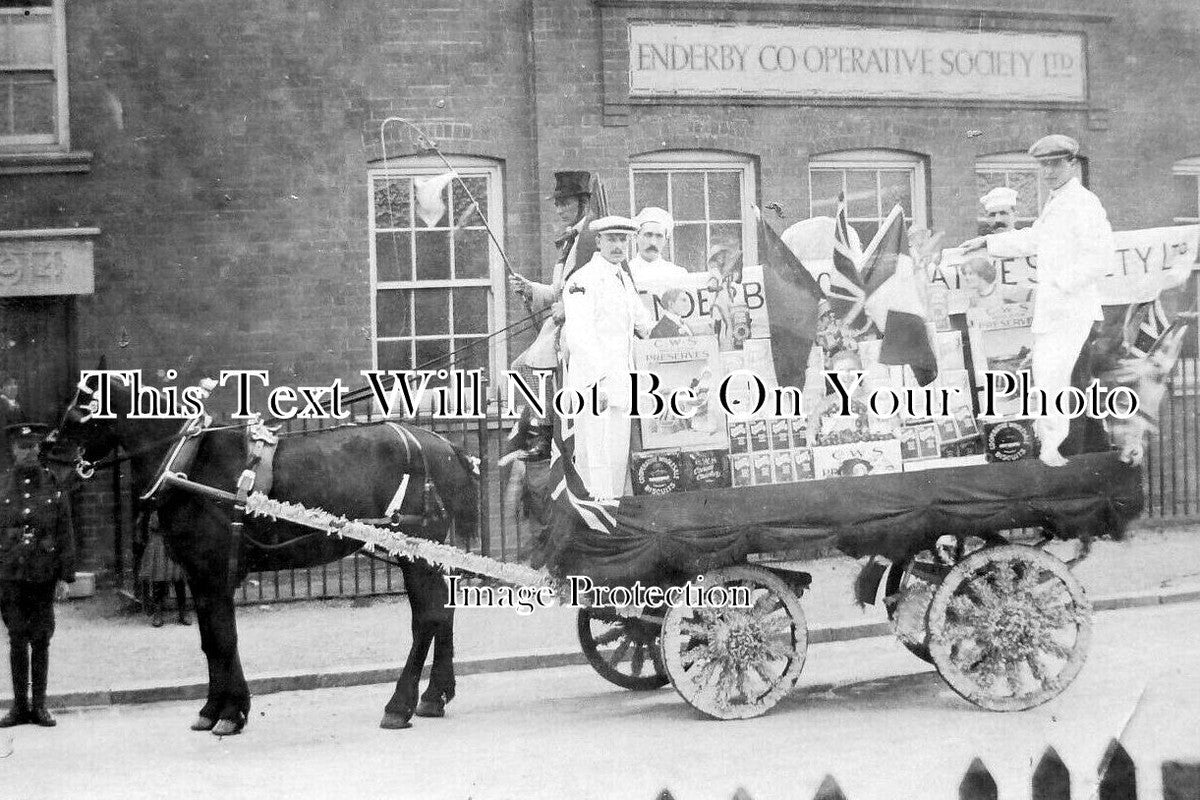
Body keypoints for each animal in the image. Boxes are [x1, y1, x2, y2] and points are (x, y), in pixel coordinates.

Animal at [46, 371, 477, 734]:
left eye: (82, 410)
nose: (49, 462)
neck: (189, 461)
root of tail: (447, 446)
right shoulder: (199, 575)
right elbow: (211, 640)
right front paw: (215, 709)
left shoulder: (215, 570)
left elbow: (223, 639)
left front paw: (230, 713)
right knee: (443, 612)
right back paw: (434, 696)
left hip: (415, 554)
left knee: (427, 618)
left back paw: (399, 705)